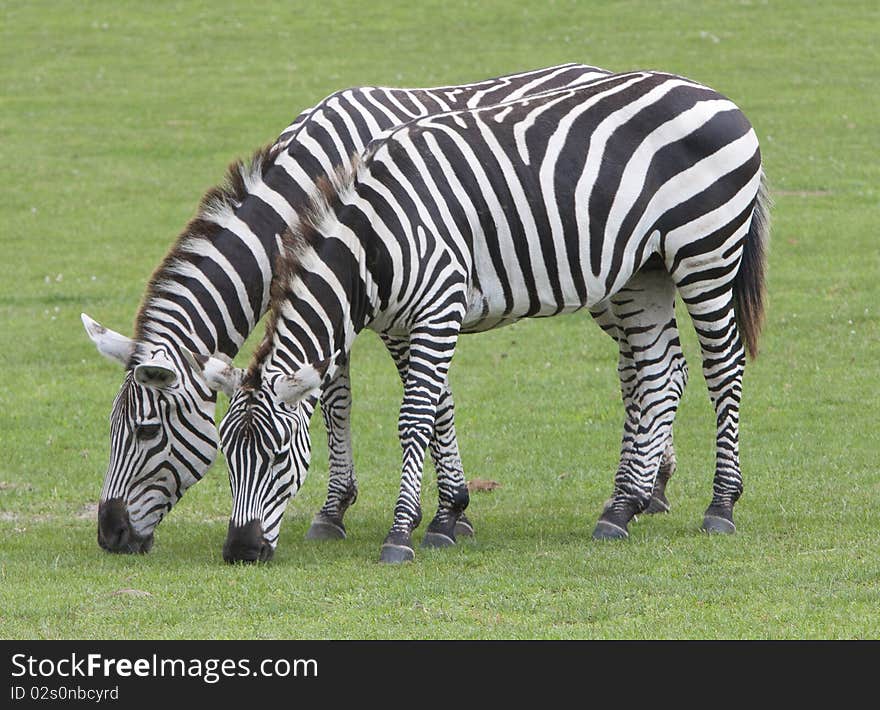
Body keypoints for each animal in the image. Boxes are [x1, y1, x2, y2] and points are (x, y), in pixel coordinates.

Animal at [77, 64, 620, 560]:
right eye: (111, 429)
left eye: (146, 432)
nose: (110, 535)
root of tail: (592, 68)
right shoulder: (335, 305)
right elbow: (339, 403)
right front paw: (341, 509)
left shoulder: (391, 308)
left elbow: (427, 402)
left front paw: (445, 512)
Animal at [199, 69, 768, 564]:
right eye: (225, 456)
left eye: (277, 457)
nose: (240, 552)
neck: (375, 239)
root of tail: (713, 93)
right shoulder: (401, 321)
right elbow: (436, 410)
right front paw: (447, 516)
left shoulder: (438, 306)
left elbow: (414, 419)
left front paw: (402, 534)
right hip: (645, 271)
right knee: (658, 373)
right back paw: (622, 508)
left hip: (706, 251)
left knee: (722, 365)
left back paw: (720, 505)